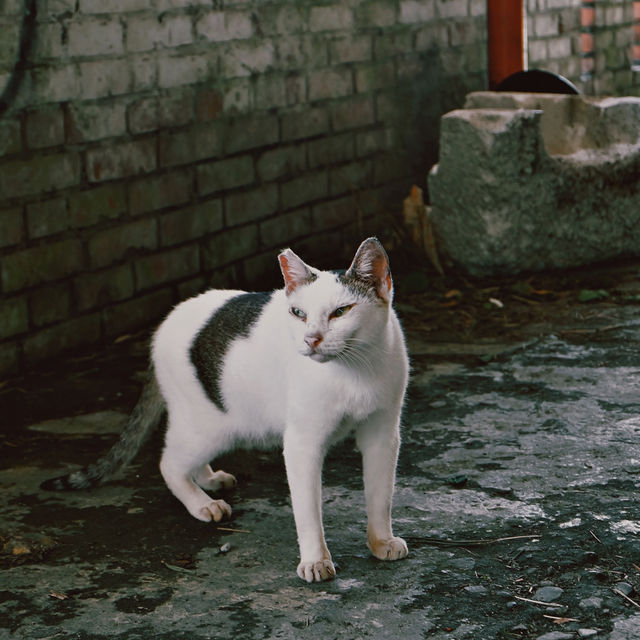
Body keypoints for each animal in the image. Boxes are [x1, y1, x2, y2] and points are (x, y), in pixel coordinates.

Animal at [42, 238, 408, 584]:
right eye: (298, 313)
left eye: (341, 311)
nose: (311, 339)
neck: (353, 371)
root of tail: (164, 322)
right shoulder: (303, 443)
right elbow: (308, 511)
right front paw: (315, 561)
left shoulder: (383, 434)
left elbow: (380, 496)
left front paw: (381, 541)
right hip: (210, 426)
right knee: (168, 462)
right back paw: (202, 503)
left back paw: (209, 479)